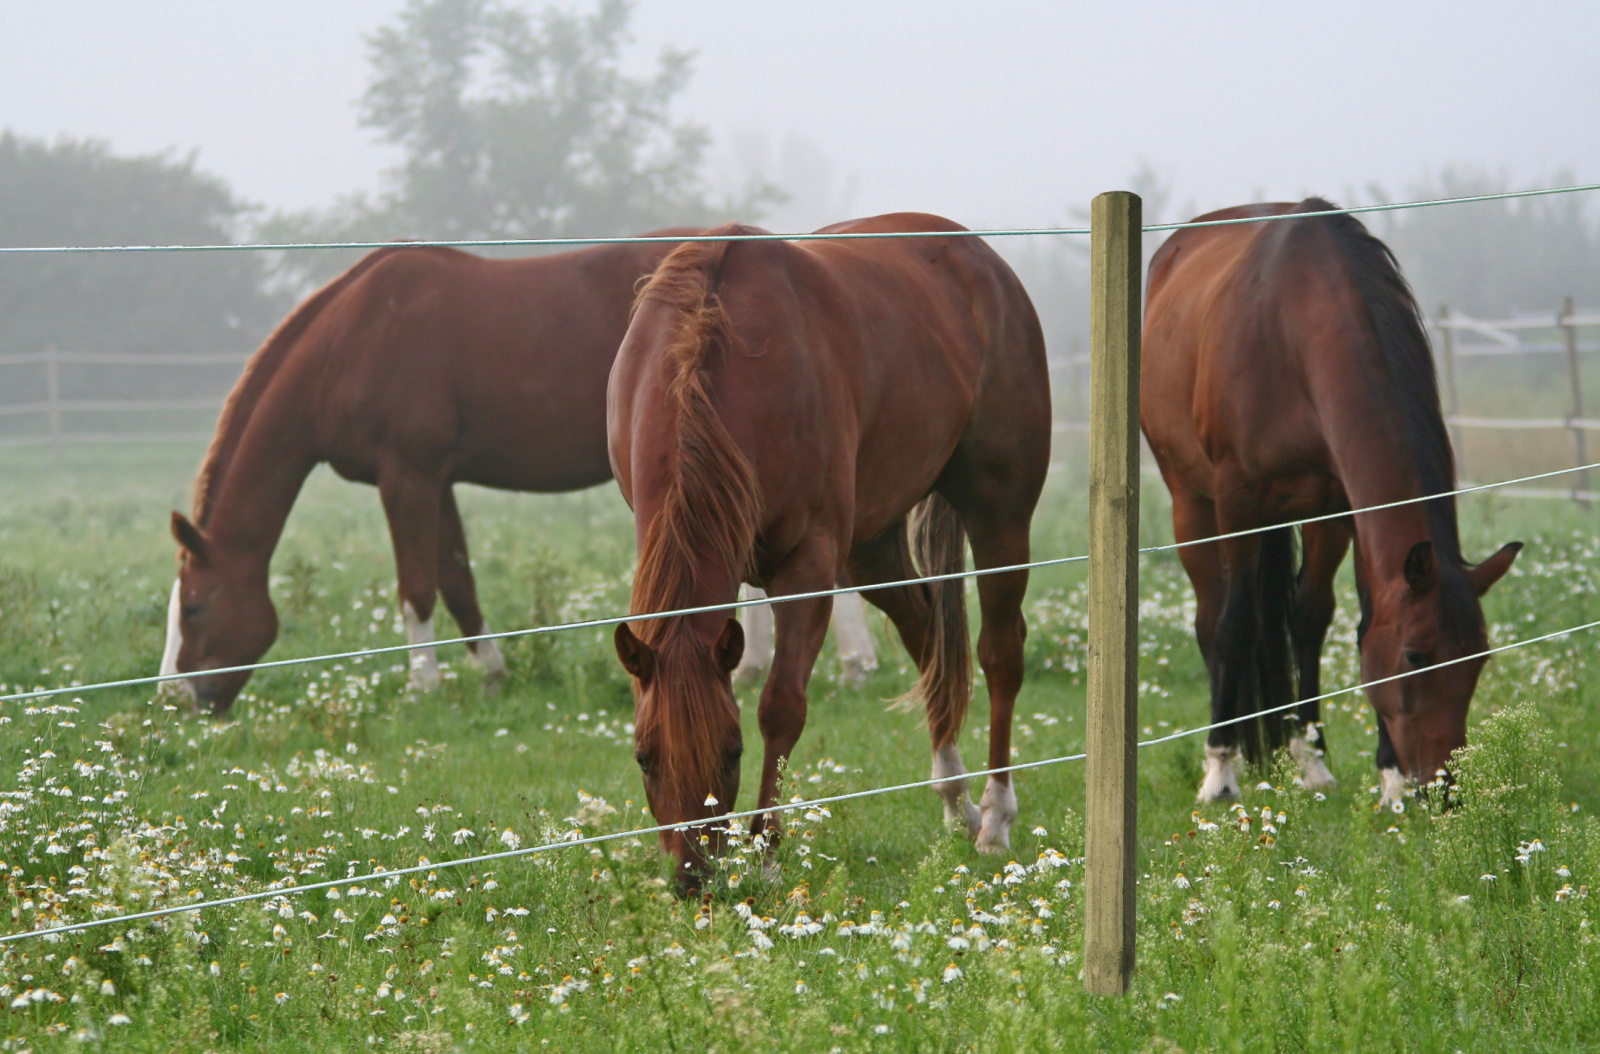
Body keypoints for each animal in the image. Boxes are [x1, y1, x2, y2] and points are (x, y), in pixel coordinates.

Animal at [165, 236, 697, 716]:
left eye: (193, 608)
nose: (173, 701)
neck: (349, 343)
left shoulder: (407, 478)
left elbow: (416, 588)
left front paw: (422, 687)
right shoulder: (436, 483)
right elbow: (457, 582)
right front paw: (492, 675)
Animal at [601, 214, 1049, 889]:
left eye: (731, 752)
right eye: (643, 757)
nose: (693, 878)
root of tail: (983, 259)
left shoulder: (808, 567)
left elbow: (781, 707)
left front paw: (766, 852)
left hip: (1000, 515)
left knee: (999, 654)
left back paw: (995, 817)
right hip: (870, 546)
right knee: (927, 634)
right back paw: (956, 800)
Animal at [1145, 198, 1516, 809]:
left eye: (1479, 658)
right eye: (1416, 656)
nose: (1444, 790)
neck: (1296, 327)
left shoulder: (1340, 504)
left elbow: (1333, 618)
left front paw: (1372, 774)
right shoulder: (1236, 500)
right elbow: (1236, 626)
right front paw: (1219, 773)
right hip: (1190, 502)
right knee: (1211, 617)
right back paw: (1232, 755)